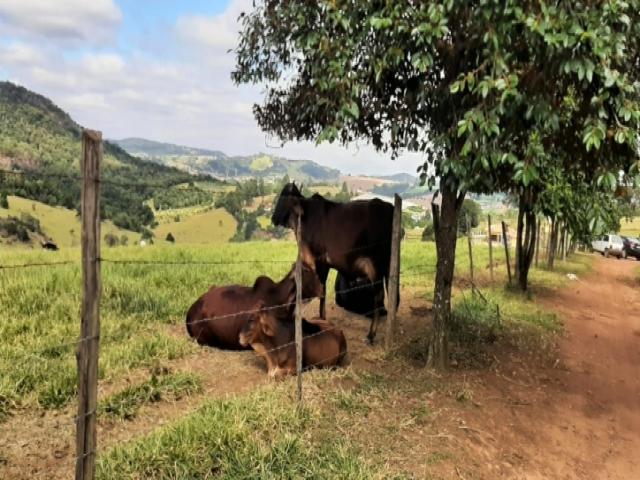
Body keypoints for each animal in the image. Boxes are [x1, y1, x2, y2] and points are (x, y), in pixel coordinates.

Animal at [270, 182, 396, 344]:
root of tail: (389, 207)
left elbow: (322, 291)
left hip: (376, 266)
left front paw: (321, 320)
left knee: (379, 296)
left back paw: (370, 335)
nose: (273, 218)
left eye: (284, 197)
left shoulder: (320, 262)